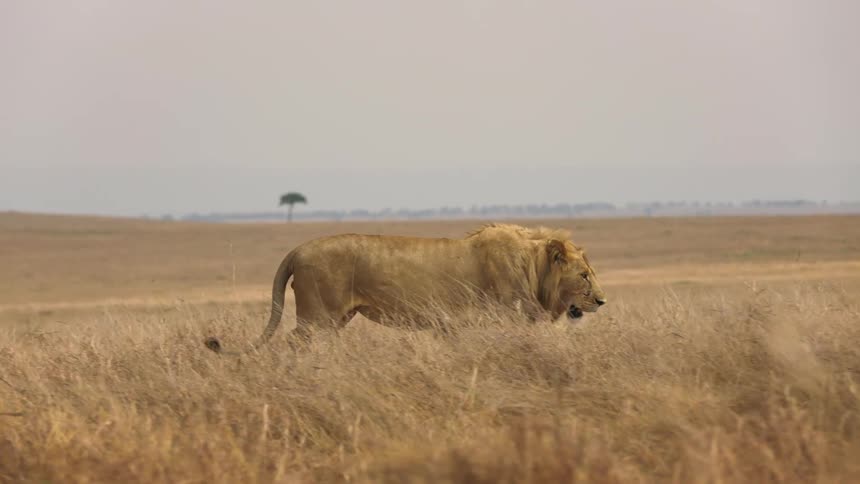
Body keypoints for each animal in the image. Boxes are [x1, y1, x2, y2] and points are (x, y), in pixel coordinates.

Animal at [204, 223, 607, 354]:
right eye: (585, 275)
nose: (602, 301)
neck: (533, 267)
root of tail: (298, 249)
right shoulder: (501, 320)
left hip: (337, 319)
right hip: (317, 316)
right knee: (294, 342)